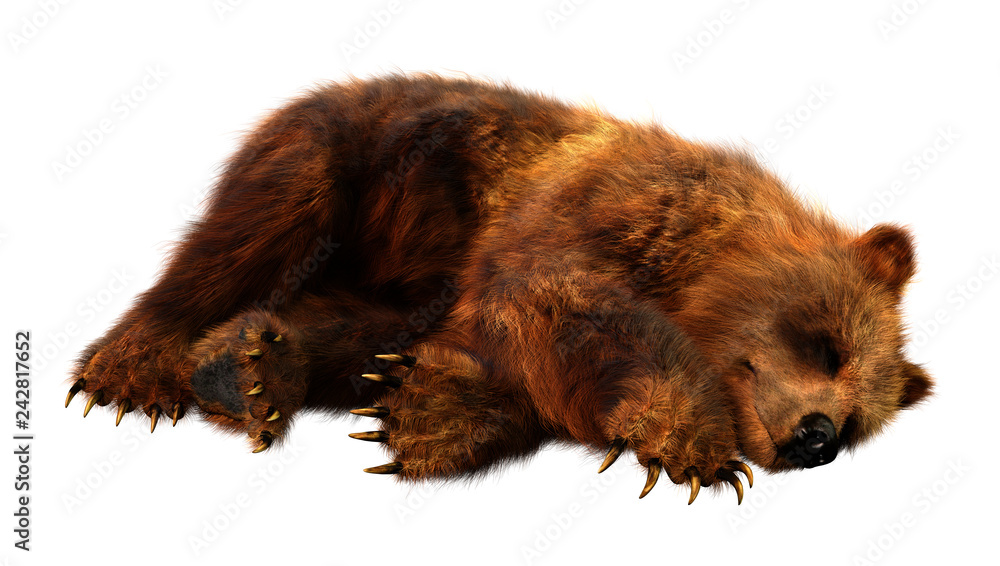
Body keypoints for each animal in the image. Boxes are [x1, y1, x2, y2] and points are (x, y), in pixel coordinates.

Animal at [65, 73, 933, 504]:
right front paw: (694, 445)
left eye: (861, 420)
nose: (817, 438)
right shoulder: (597, 212)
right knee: (235, 247)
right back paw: (136, 370)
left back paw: (252, 370)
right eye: (828, 343)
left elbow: (499, 372)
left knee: (348, 319)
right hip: (341, 159)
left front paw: (417, 410)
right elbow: (561, 301)